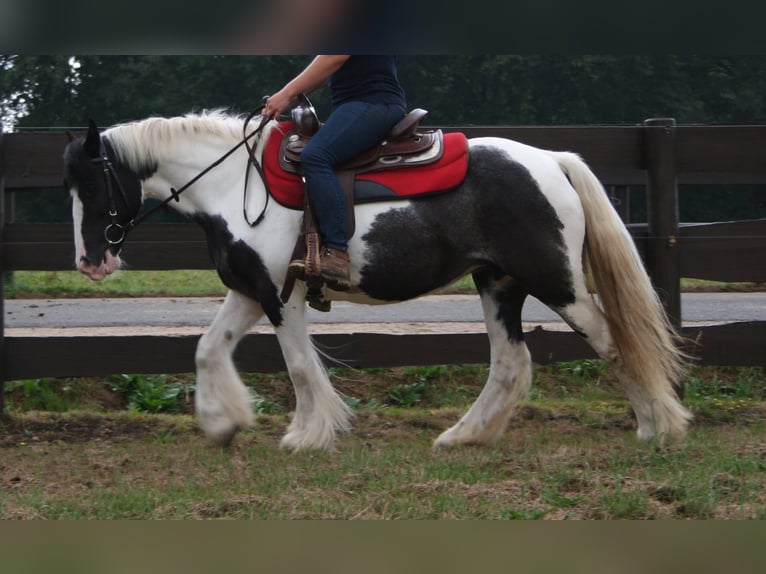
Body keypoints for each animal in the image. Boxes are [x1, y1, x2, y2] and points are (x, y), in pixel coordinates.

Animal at [63, 111, 692, 454]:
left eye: (91, 185)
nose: (90, 262)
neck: (234, 183)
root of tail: (551, 160)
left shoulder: (282, 296)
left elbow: (298, 365)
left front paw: (307, 435)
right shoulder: (249, 290)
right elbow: (207, 348)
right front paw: (224, 423)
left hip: (557, 282)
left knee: (615, 342)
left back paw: (655, 426)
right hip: (498, 284)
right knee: (511, 363)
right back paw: (462, 437)